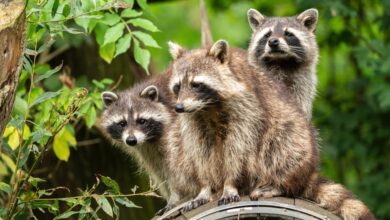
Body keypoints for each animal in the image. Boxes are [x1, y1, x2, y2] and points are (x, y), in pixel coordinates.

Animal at [166, 40, 374, 219]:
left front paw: (230, 183)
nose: (179, 108)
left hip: (295, 134)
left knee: (280, 144)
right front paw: (205, 188)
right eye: (178, 86)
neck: (208, 107)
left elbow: (239, 148)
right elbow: (200, 152)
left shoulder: (247, 109)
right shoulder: (194, 121)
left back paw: (279, 184)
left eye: (196, 84)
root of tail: (308, 175)